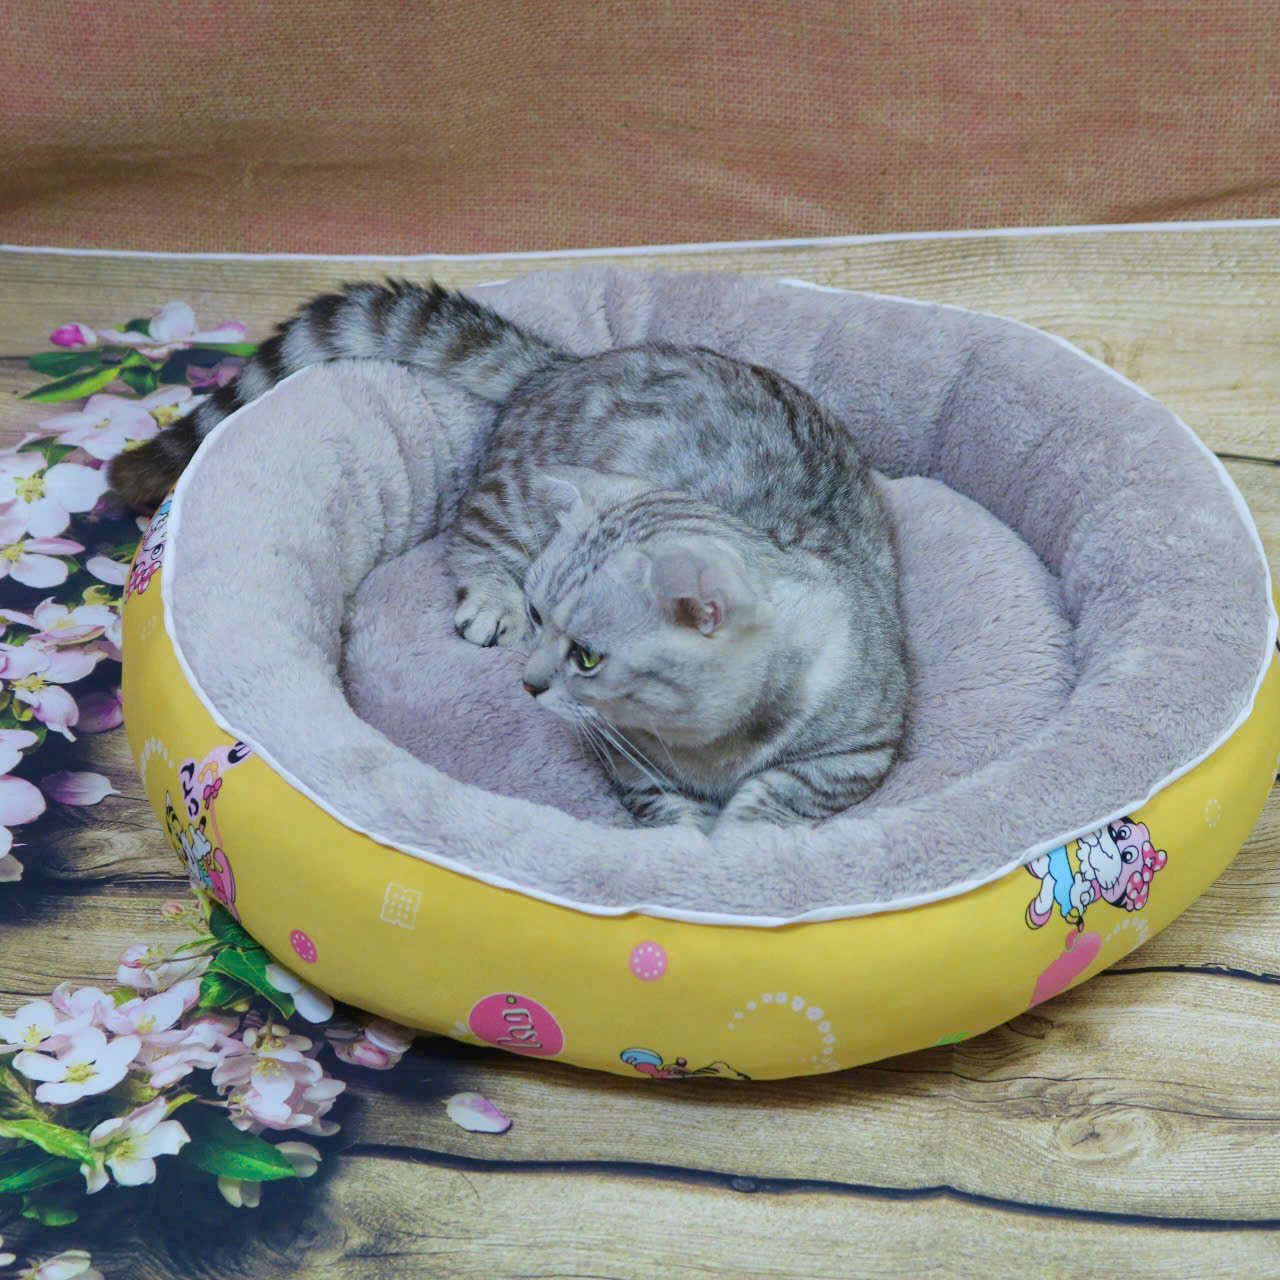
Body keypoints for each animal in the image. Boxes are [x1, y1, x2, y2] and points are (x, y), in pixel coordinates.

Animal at [111, 280, 908, 830]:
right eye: (543, 617)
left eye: (588, 654)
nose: (528, 684)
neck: (708, 743)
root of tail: (571, 362)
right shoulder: (628, 760)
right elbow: (664, 805)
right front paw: (692, 844)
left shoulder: (857, 751)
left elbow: (778, 797)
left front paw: (737, 843)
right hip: (517, 495)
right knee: (475, 536)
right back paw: (488, 598)